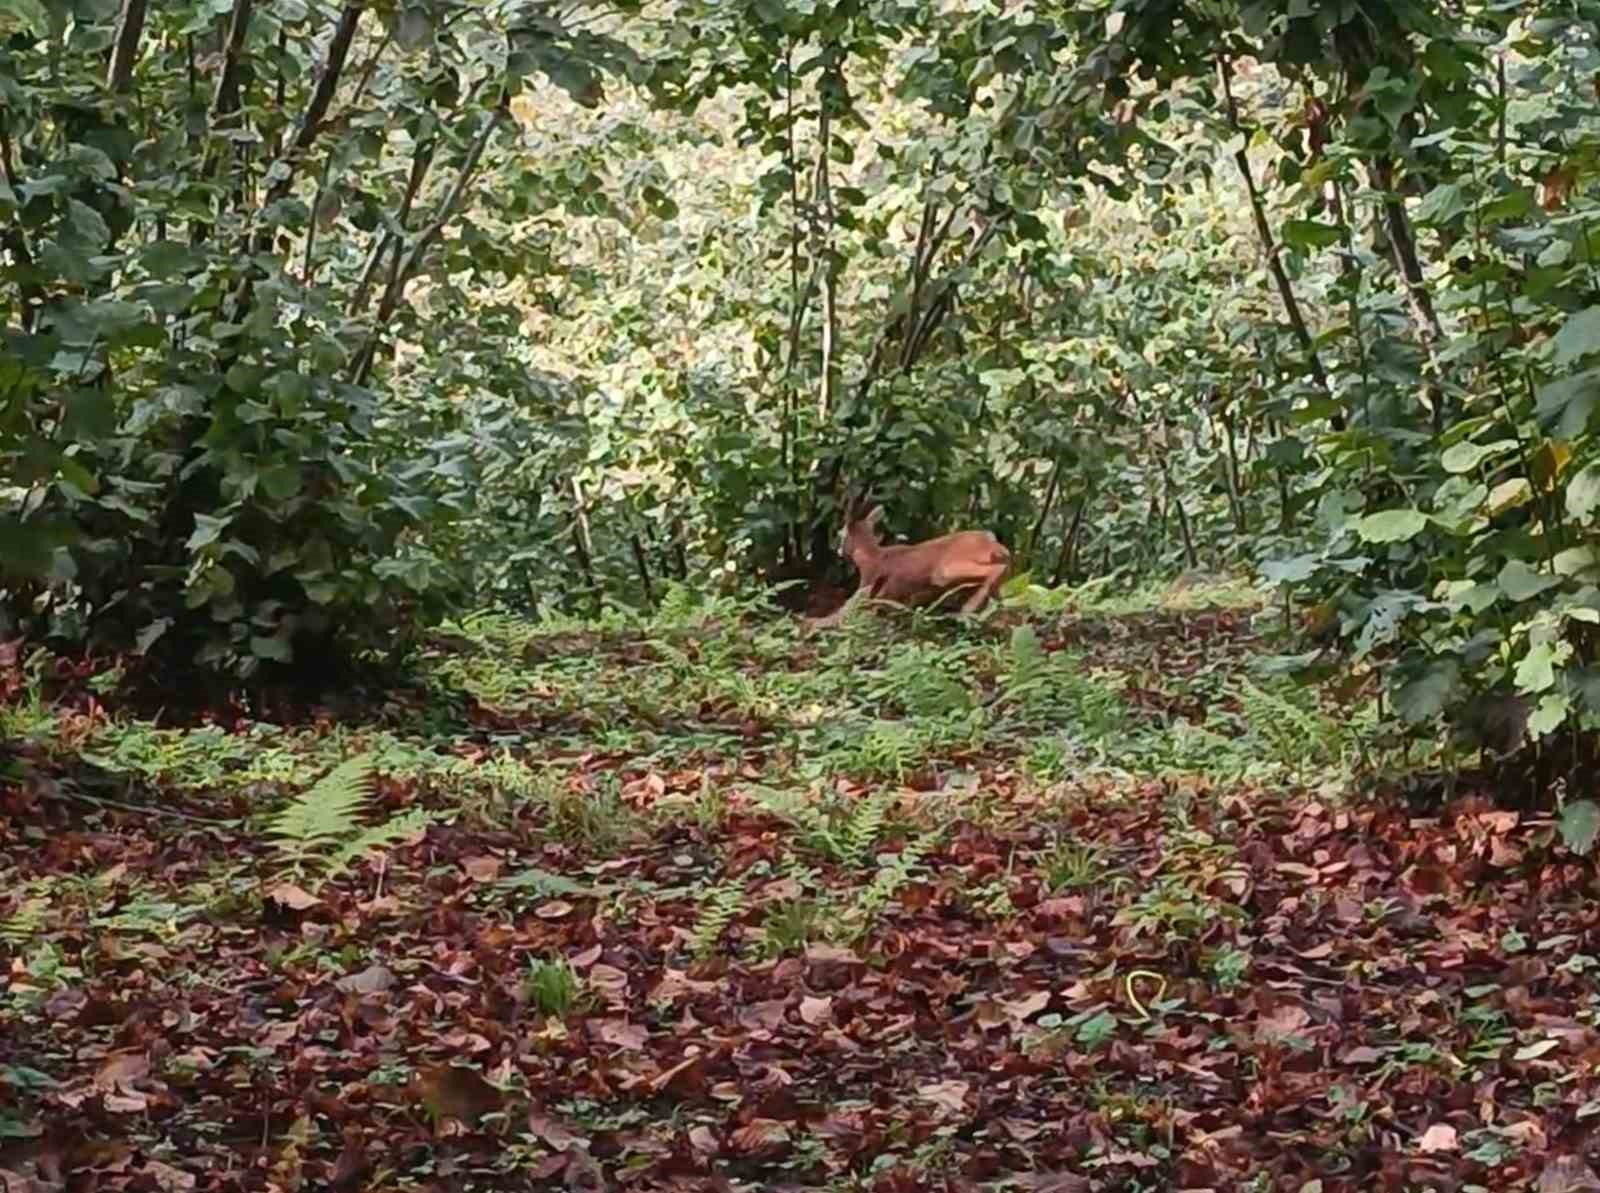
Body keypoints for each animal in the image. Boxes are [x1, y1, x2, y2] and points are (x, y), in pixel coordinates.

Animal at [825, 498, 1011, 617]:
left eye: (840, 534)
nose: (838, 551)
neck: (873, 555)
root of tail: (991, 542)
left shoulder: (868, 583)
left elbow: (845, 609)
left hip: (945, 570)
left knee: (995, 570)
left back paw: (969, 608)